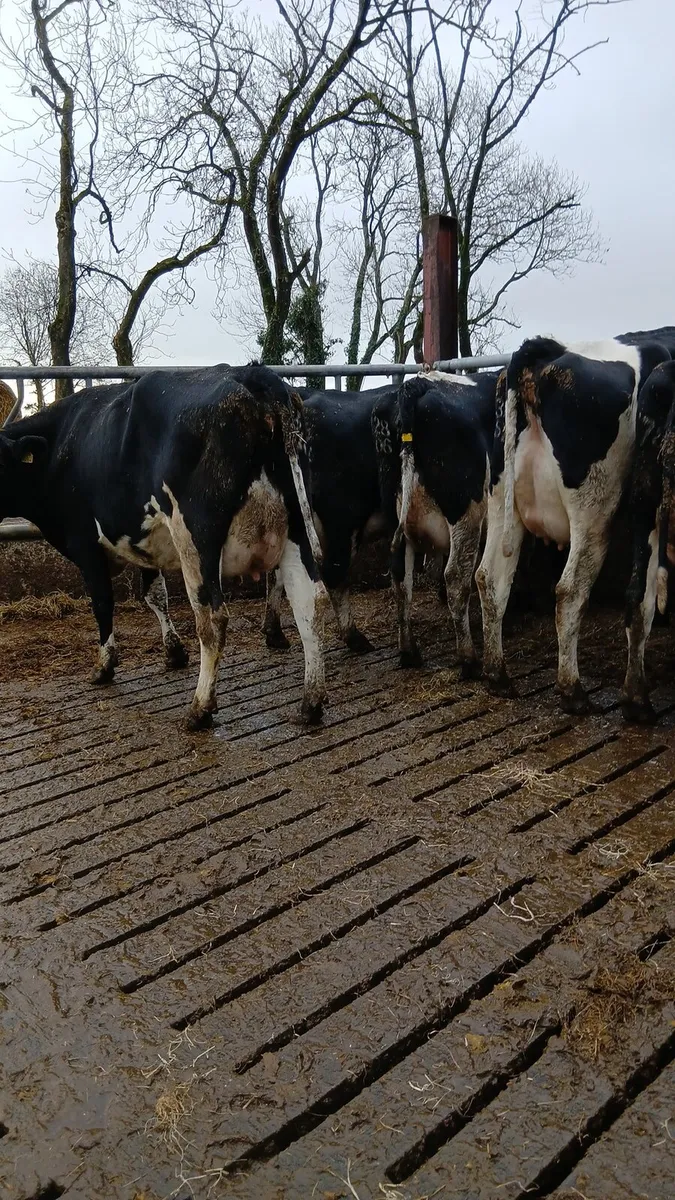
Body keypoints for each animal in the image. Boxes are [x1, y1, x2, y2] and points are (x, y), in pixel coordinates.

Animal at [0, 365, 327, 730]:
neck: (59, 446)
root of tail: (252, 376)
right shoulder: (145, 545)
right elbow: (155, 596)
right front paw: (173, 652)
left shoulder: (85, 545)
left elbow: (102, 604)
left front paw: (104, 666)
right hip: (296, 526)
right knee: (310, 602)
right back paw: (311, 702)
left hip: (196, 537)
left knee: (212, 618)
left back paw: (200, 708)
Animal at [371, 369, 500, 674]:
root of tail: (416, 383)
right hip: (466, 512)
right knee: (455, 576)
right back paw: (468, 658)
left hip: (396, 517)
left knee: (400, 579)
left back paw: (409, 652)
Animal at [476, 336, 670, 714]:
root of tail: (546, 356)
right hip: (593, 512)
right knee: (570, 591)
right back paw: (574, 691)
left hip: (502, 502)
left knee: (490, 578)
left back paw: (498, 676)